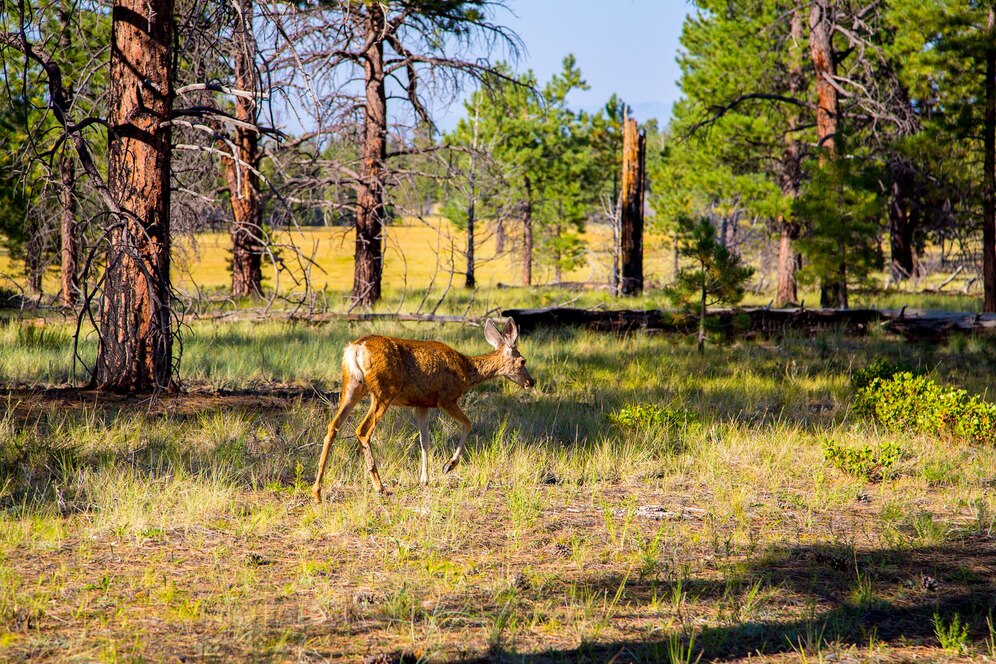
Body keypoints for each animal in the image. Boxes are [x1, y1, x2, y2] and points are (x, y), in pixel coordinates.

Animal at [311, 317, 534, 502]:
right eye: (522, 361)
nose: (531, 381)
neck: (466, 371)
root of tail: (356, 348)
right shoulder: (446, 398)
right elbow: (467, 424)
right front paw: (448, 465)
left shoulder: (421, 404)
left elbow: (424, 440)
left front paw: (425, 478)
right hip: (383, 391)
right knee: (362, 430)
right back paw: (380, 487)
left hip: (352, 386)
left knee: (332, 426)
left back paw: (317, 491)